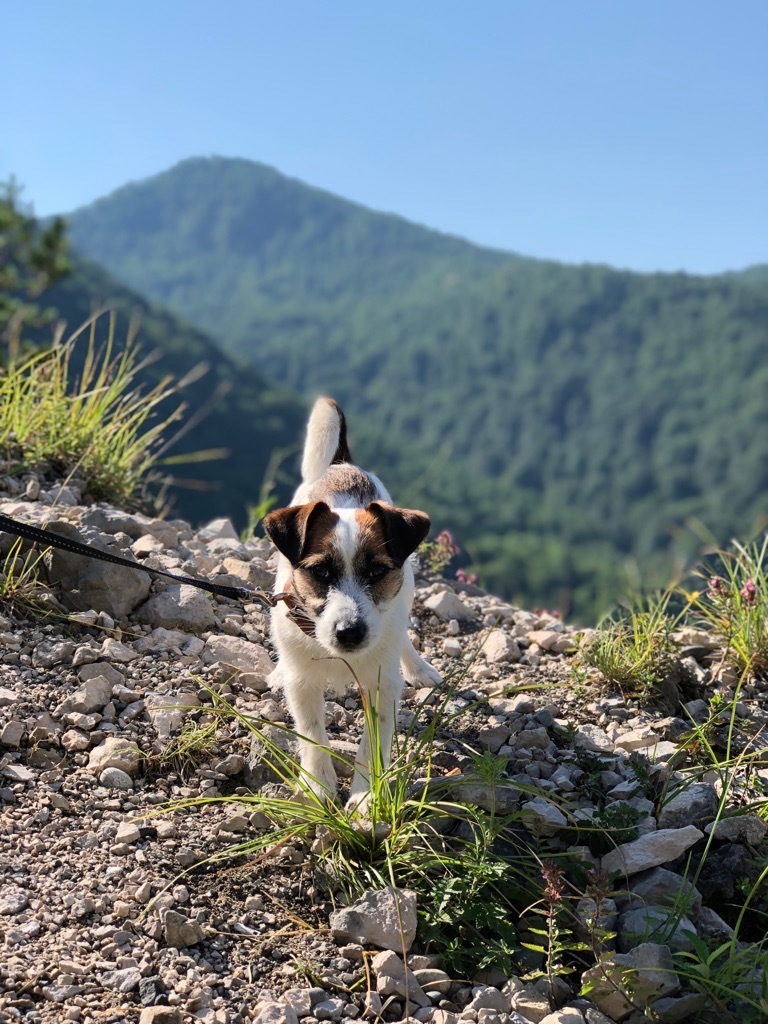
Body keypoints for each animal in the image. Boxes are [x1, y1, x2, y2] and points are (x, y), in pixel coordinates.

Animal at [264, 399, 442, 806]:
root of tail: (343, 465)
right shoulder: (304, 685)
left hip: (406, 596)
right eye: (320, 572)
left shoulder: (382, 686)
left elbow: (372, 745)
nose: (349, 633)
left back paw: (418, 666)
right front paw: (319, 786)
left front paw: (364, 799)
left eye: (377, 571)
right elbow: (312, 733)